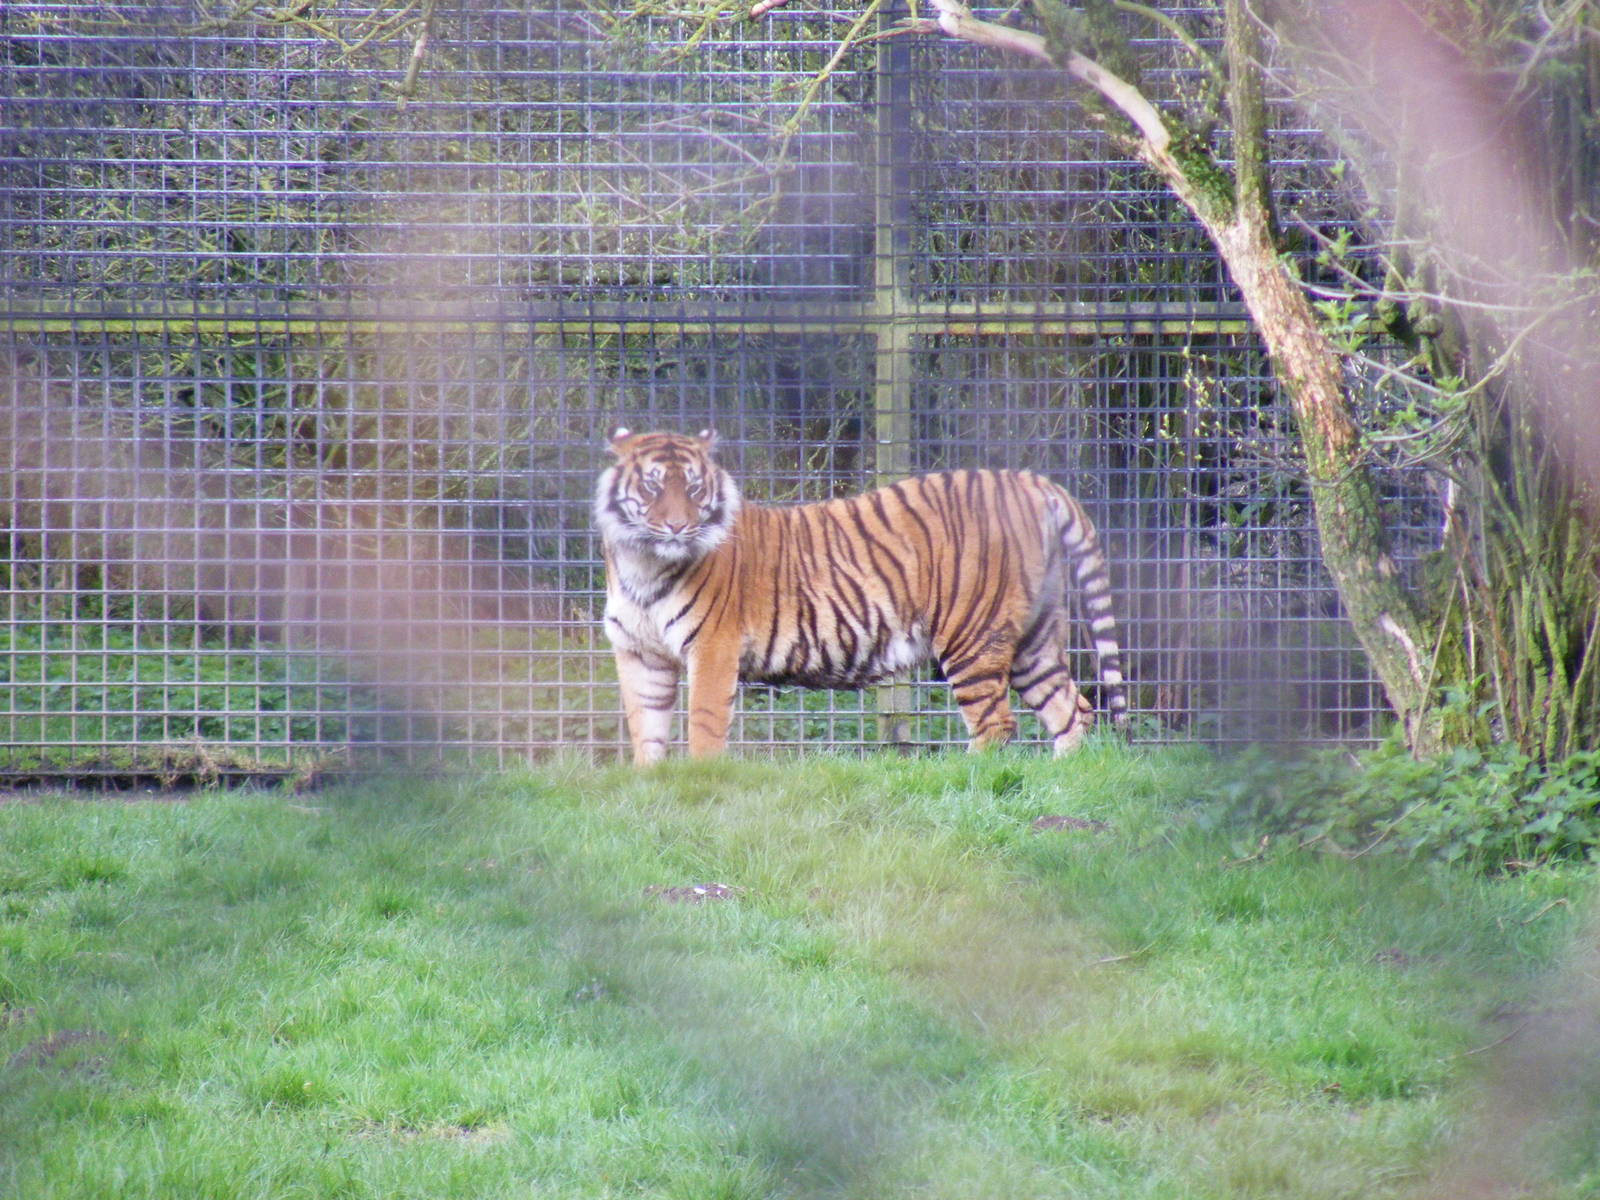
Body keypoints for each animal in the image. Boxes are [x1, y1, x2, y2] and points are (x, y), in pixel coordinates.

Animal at [595, 428, 1129, 765]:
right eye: (653, 486)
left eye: (694, 487)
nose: (676, 526)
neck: (643, 564)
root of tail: (1031, 481)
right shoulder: (640, 654)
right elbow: (646, 729)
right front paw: (652, 785)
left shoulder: (712, 649)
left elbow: (703, 727)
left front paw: (700, 784)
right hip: (1033, 639)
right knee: (1070, 709)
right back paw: (1061, 782)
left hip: (974, 634)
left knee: (997, 722)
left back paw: (961, 773)